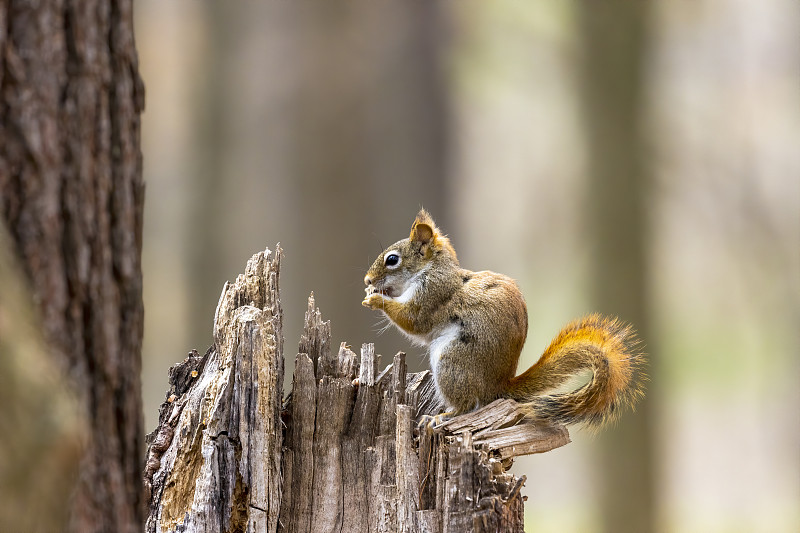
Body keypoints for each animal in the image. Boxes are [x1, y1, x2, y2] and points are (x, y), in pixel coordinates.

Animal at [360, 208, 644, 428]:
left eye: (392, 260)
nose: (367, 280)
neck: (432, 270)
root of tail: (497, 387)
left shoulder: (433, 294)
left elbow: (413, 320)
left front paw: (374, 300)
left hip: (452, 362)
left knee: (467, 404)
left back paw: (442, 416)